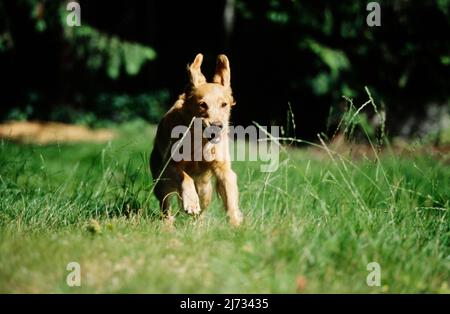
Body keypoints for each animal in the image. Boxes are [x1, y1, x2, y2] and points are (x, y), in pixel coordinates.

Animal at [149, 53, 243, 226]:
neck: (200, 141)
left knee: (202, 210)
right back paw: (168, 225)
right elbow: (185, 177)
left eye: (224, 104)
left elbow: (230, 197)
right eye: (202, 104)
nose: (217, 126)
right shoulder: (169, 165)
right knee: (165, 206)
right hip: (161, 183)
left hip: (205, 189)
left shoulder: (224, 169)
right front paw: (191, 203)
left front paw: (235, 224)